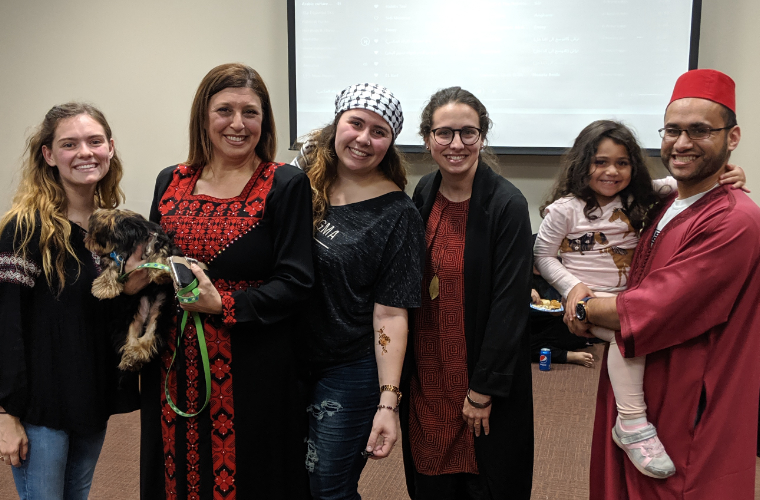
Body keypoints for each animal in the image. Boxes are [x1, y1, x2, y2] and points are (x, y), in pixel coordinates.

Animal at [85, 208, 180, 372]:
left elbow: (160, 251)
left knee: (151, 333)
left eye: (92, 233)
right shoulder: (119, 257)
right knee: (131, 335)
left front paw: (161, 272)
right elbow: (112, 267)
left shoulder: (159, 238)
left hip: (160, 312)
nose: (87, 240)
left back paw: (137, 353)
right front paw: (104, 286)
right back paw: (131, 357)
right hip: (131, 315)